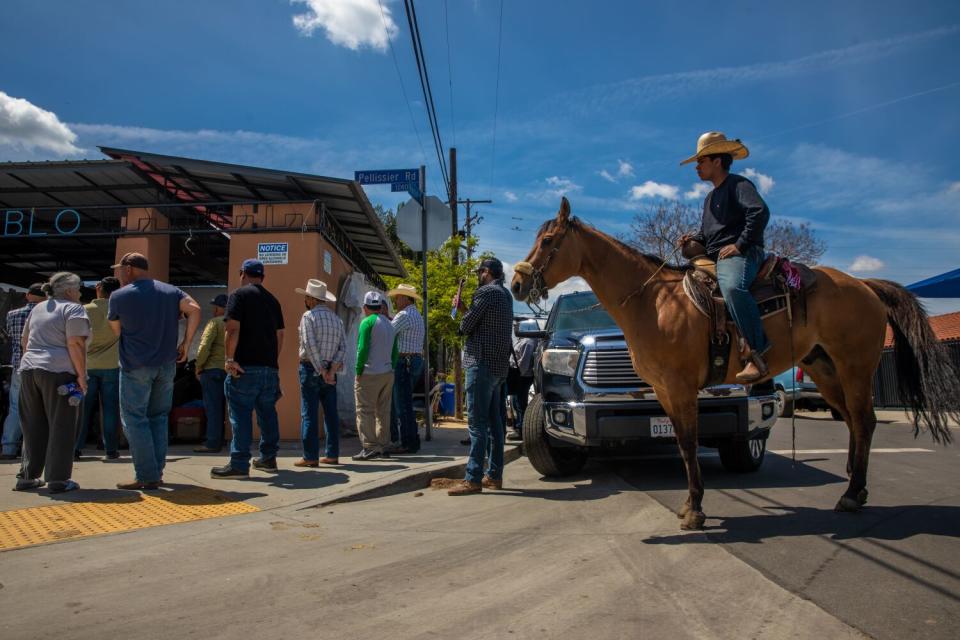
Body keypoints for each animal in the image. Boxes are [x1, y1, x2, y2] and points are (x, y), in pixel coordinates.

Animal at [512, 199, 956, 528]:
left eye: (548, 240)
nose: (517, 283)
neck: (652, 303)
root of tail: (865, 285)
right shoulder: (662, 389)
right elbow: (681, 441)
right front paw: (692, 504)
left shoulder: (680, 387)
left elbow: (689, 443)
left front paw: (694, 510)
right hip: (825, 369)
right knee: (853, 421)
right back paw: (855, 488)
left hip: (855, 367)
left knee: (863, 421)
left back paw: (851, 494)